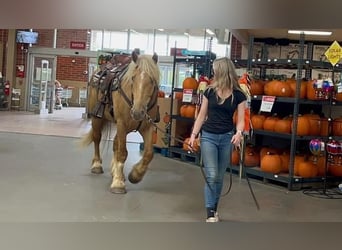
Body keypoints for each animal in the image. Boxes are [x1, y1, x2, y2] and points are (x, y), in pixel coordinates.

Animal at [81, 50, 160, 193]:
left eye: (152, 80)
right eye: (133, 78)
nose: (137, 112)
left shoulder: (147, 127)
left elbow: (148, 154)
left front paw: (135, 175)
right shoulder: (122, 123)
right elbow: (122, 152)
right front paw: (118, 183)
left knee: (115, 144)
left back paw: (115, 171)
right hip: (97, 118)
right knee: (97, 138)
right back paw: (97, 165)